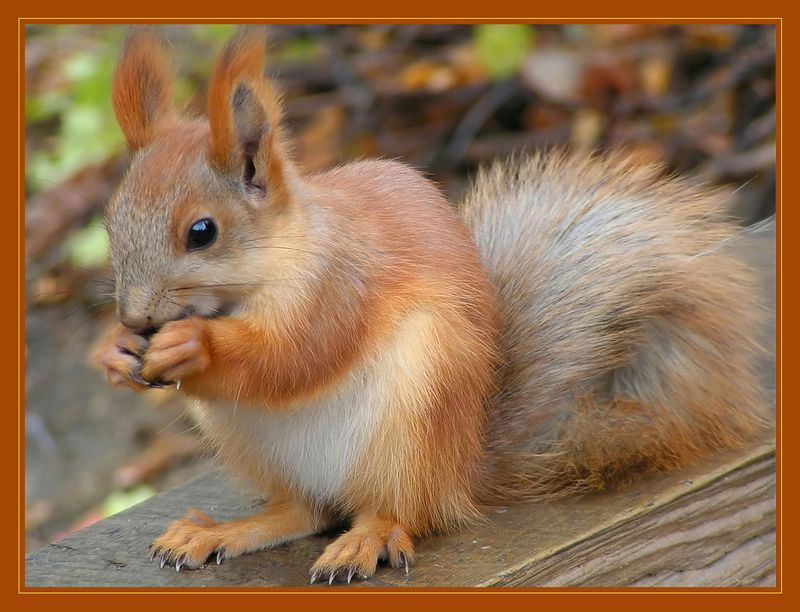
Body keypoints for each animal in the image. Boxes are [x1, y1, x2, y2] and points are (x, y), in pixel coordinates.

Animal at [94, 28, 769, 583]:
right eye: (110, 220)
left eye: (202, 232)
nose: (137, 318)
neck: (264, 273)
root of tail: (462, 472)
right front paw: (112, 351)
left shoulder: (340, 286)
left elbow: (295, 356)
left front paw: (193, 344)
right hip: (251, 440)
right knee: (304, 510)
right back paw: (220, 532)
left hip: (417, 407)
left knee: (399, 511)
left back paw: (366, 539)